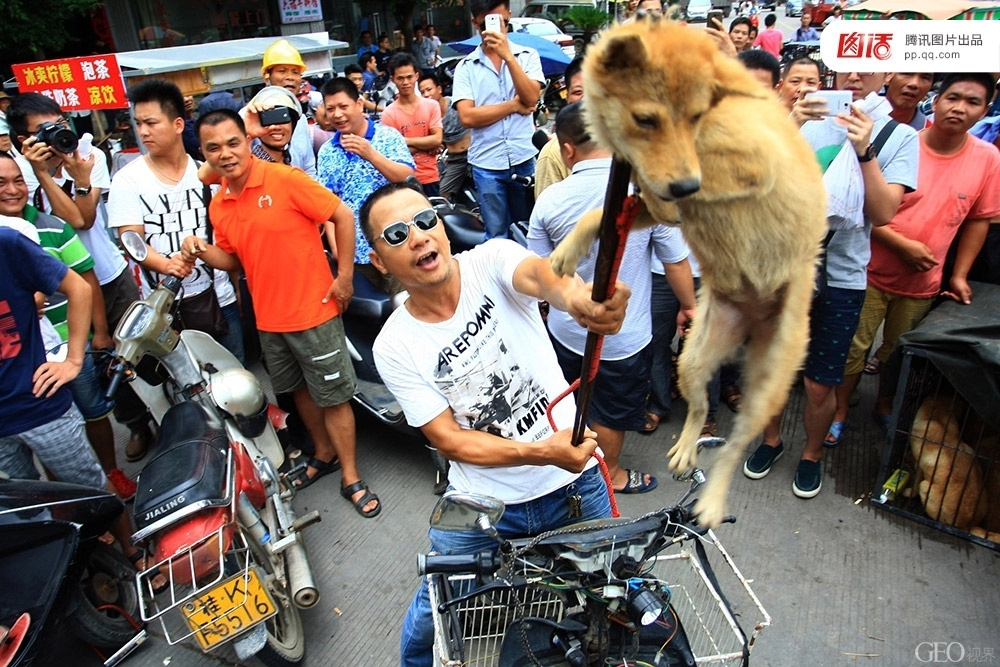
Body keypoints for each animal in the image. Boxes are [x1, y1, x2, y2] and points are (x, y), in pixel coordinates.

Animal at [908, 396, 992, 532]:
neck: (939, 420)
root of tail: (966, 524)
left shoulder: (919, 465)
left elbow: (914, 485)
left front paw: (908, 493)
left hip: (925, 487)